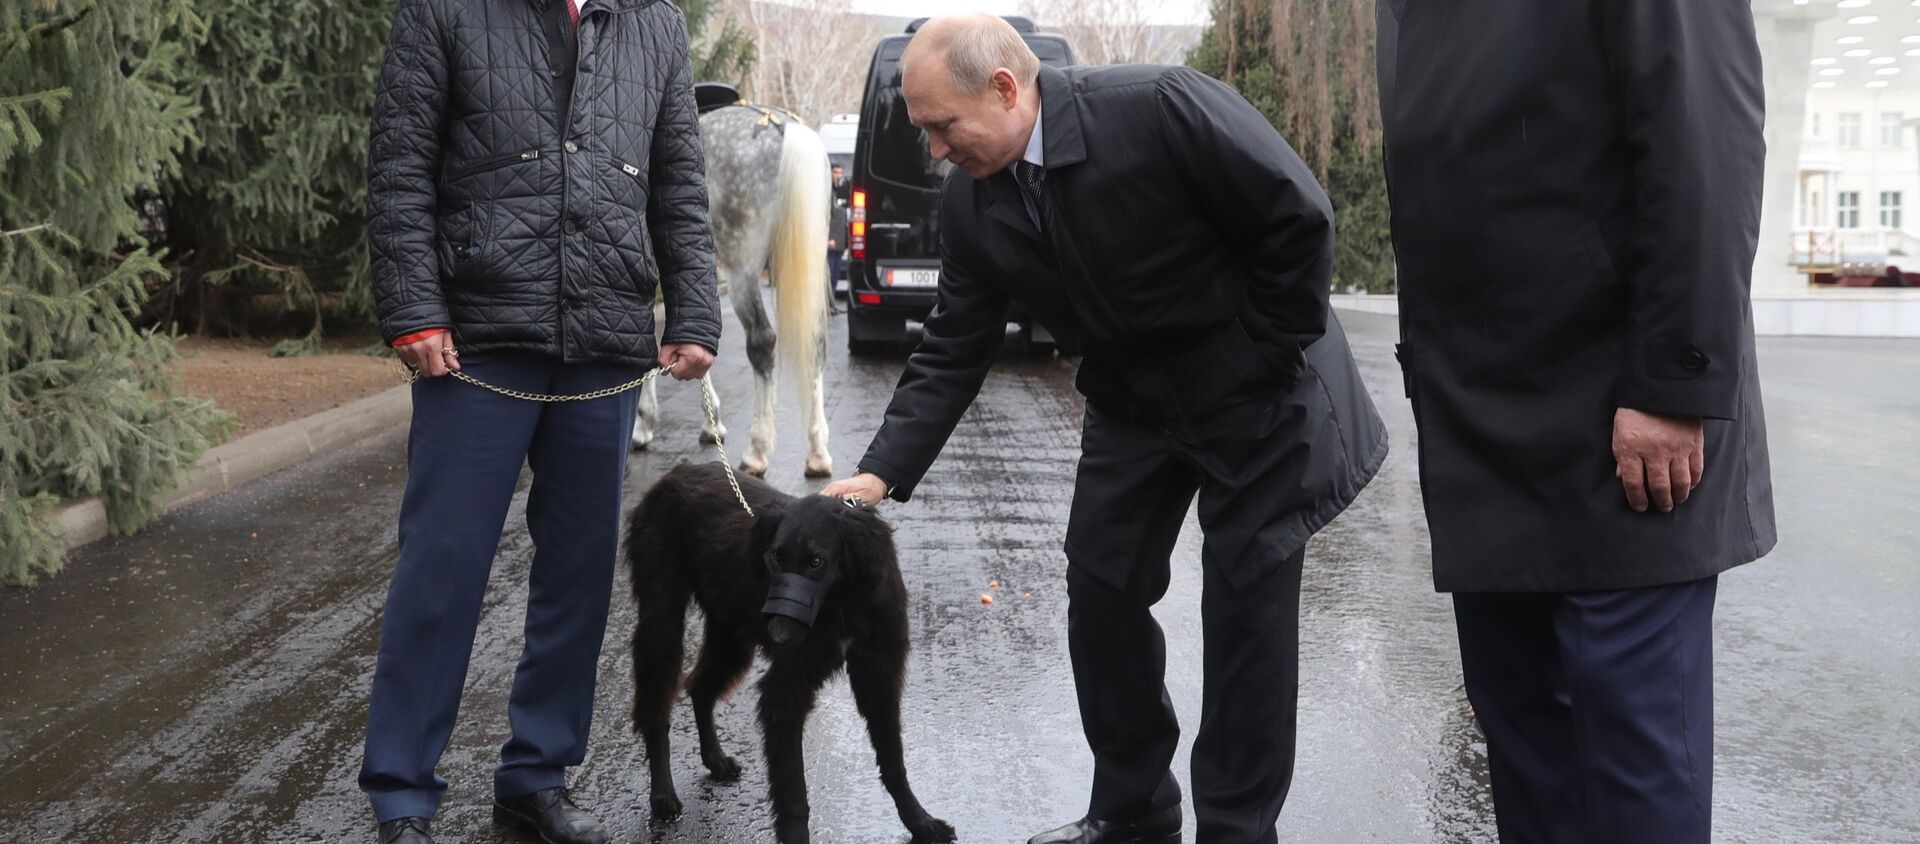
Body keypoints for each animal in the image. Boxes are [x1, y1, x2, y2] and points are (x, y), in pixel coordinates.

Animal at [629, 462, 960, 844]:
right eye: (775, 556)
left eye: (816, 561)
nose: (779, 636)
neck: (844, 600)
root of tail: (677, 472)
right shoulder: (786, 690)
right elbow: (793, 795)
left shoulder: (879, 675)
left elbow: (894, 764)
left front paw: (920, 822)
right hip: (662, 621)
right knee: (656, 707)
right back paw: (662, 795)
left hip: (730, 632)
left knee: (700, 687)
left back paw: (715, 759)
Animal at [637, 102, 833, 477]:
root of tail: (781, 127)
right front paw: (709, 421)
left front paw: (642, 423)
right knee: (816, 344)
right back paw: (817, 452)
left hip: (744, 270)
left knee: (762, 341)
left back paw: (757, 449)